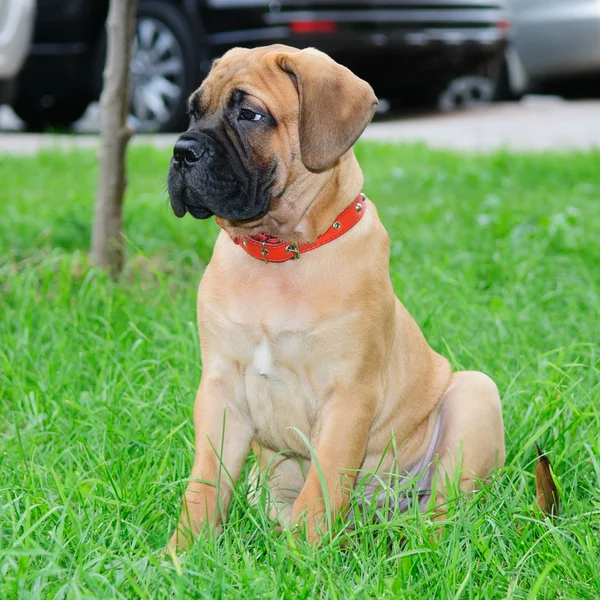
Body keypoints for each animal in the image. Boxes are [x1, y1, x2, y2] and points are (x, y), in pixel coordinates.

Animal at [166, 43, 504, 548]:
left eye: (250, 114)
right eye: (193, 111)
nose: (181, 151)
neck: (279, 253)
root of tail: (380, 513)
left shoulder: (347, 396)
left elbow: (322, 486)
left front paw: (301, 557)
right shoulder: (220, 390)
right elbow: (204, 484)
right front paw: (182, 552)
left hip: (475, 394)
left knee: (444, 510)